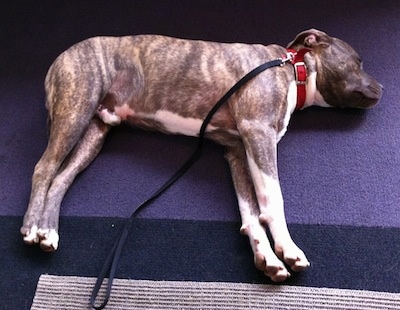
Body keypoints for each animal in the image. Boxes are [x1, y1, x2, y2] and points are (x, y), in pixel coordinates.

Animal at [21, 28, 382, 280]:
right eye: (358, 61)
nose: (382, 88)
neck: (294, 69)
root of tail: (59, 57)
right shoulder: (258, 134)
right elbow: (272, 201)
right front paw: (287, 248)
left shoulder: (237, 150)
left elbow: (250, 211)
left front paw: (266, 257)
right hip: (75, 108)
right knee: (44, 168)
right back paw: (31, 226)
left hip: (94, 134)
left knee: (61, 177)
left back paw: (48, 231)